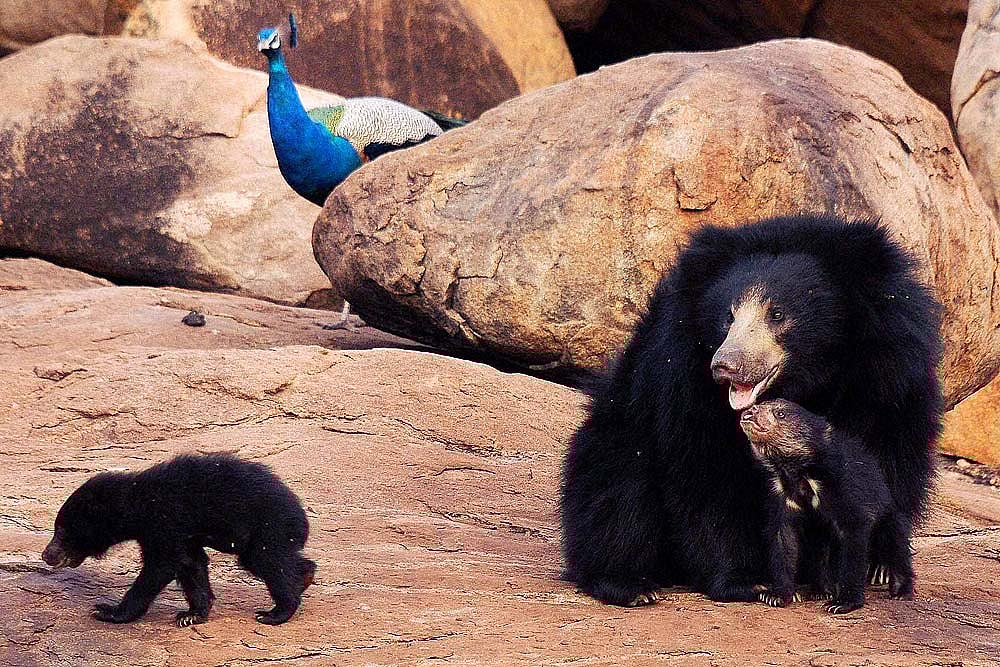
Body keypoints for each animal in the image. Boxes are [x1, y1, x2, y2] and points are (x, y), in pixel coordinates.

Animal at [41, 454, 316, 626]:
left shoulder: (165, 521)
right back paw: (304, 577)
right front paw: (192, 614)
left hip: (267, 526)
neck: (136, 502)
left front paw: (108, 611)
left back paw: (276, 612)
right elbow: (191, 564)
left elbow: (160, 567)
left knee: (269, 562)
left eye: (61, 531)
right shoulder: (182, 534)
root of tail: (301, 515)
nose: (46, 555)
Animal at [740, 399, 914, 613]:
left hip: (888, 514)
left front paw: (841, 603)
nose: (750, 411)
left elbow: (854, 535)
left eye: (781, 414)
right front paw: (774, 595)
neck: (799, 472)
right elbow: (783, 538)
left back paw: (900, 591)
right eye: (762, 404)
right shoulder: (781, 493)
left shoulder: (842, 487)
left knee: (895, 542)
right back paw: (821, 591)